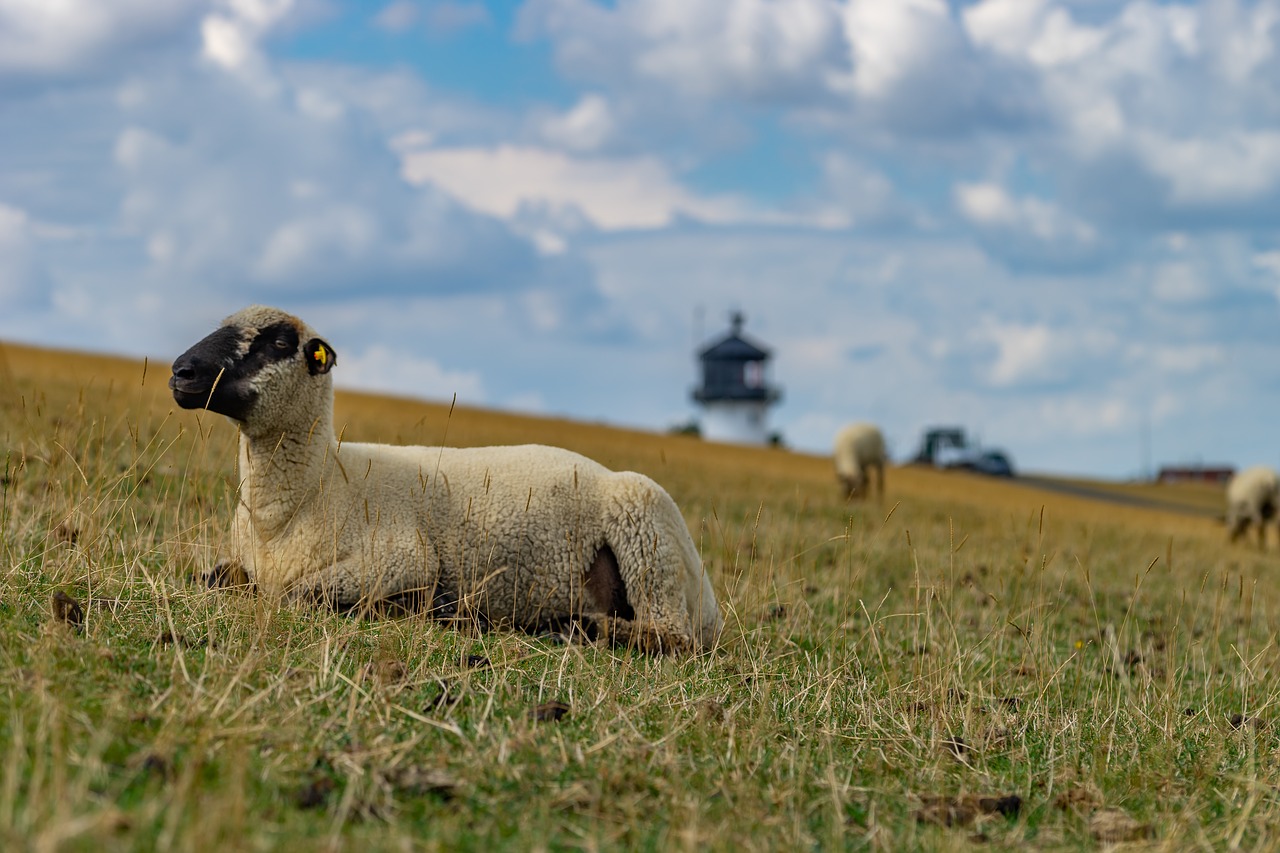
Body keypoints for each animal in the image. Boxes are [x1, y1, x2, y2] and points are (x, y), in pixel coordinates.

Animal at [168, 303, 721, 650]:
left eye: (279, 342)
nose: (181, 372)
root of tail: (710, 604)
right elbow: (215, 579)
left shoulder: (402, 558)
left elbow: (296, 594)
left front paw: (417, 612)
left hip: (647, 534)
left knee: (672, 636)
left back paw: (577, 628)